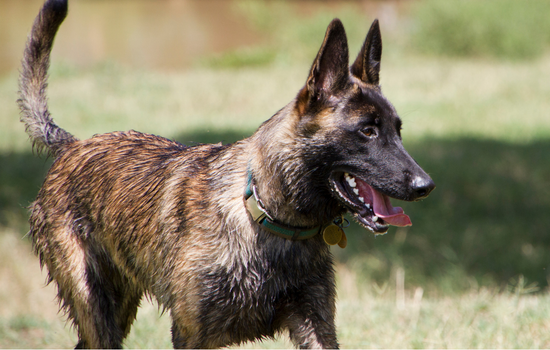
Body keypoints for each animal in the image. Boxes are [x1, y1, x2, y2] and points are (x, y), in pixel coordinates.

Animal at [18, 0, 436, 348]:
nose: (425, 186)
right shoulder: (192, 334)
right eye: (367, 130)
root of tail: (73, 146)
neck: (269, 217)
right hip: (97, 308)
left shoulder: (316, 324)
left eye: (397, 130)